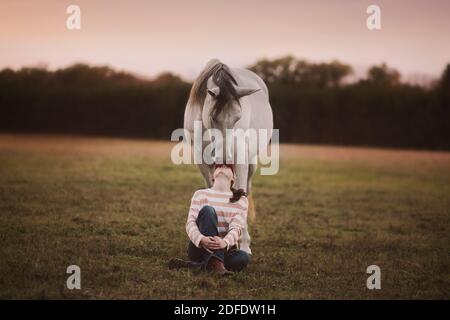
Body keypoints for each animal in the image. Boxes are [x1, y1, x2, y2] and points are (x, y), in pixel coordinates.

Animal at [183, 58, 274, 221]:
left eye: (238, 117)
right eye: (213, 117)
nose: (225, 158)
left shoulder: (240, 157)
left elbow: (240, 188)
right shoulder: (201, 160)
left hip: (251, 162)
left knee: (247, 185)